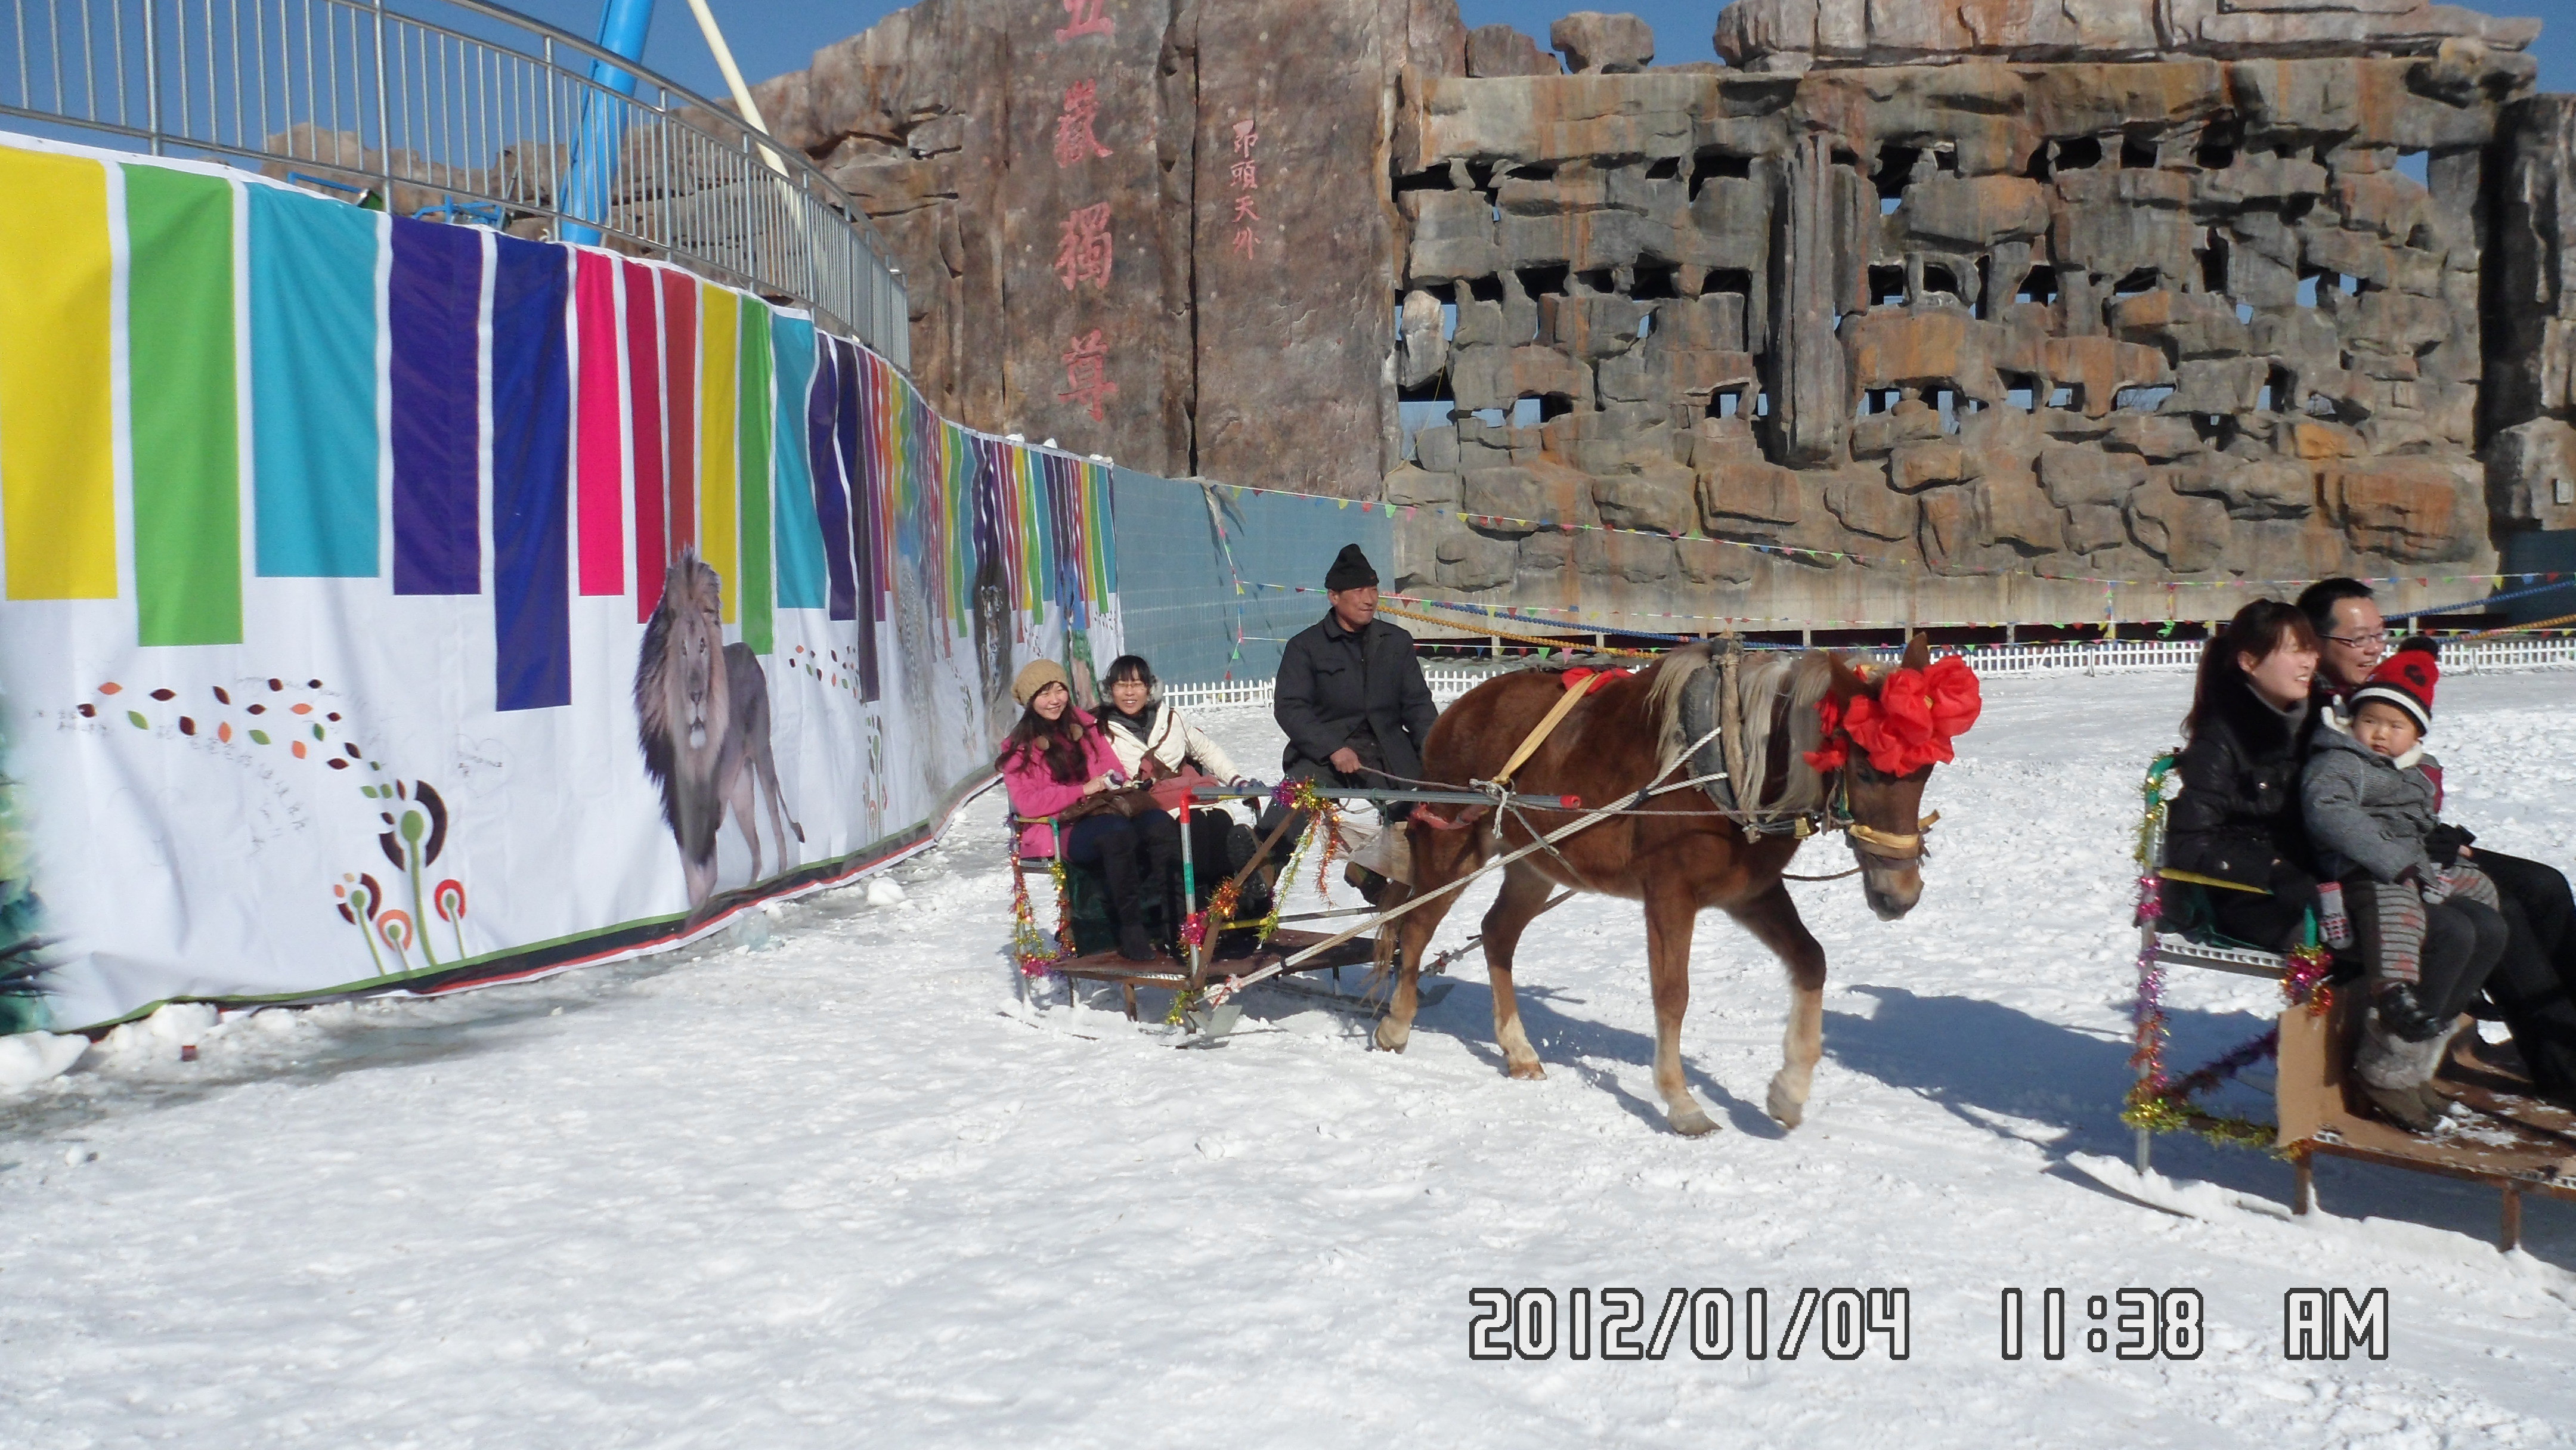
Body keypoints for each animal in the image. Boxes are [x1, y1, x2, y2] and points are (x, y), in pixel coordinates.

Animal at [1370, 636, 1947, 1133]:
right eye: (1865, 772)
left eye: (1925, 772)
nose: (1901, 894)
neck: (1732, 763)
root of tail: (1460, 709)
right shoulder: (1670, 895)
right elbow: (1672, 994)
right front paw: (1681, 1101)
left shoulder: (1752, 893)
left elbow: (1811, 961)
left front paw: (1789, 1090)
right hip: (1453, 844)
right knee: (1415, 927)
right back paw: (1397, 1025)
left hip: (1534, 863)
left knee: (1497, 933)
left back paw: (1518, 1050)